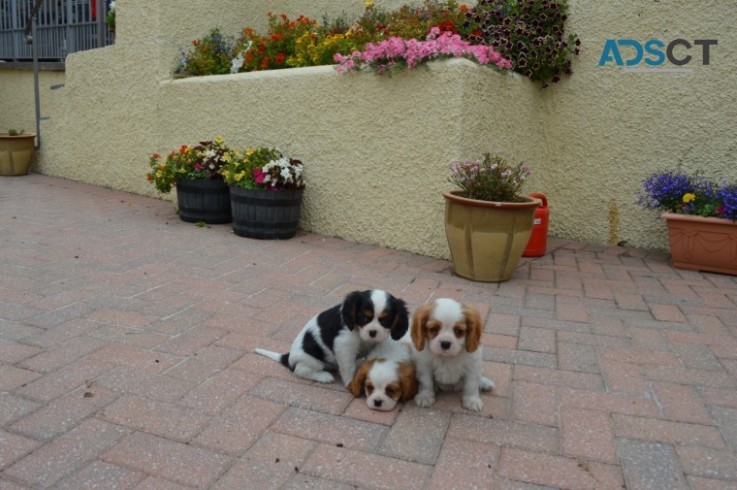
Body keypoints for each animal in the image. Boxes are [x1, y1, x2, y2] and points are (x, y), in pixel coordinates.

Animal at [256, 290, 408, 384]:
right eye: (364, 317)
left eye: (385, 320)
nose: (373, 332)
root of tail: (288, 357)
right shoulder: (344, 344)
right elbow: (348, 367)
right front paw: (351, 382)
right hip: (311, 360)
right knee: (300, 371)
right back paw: (323, 376)